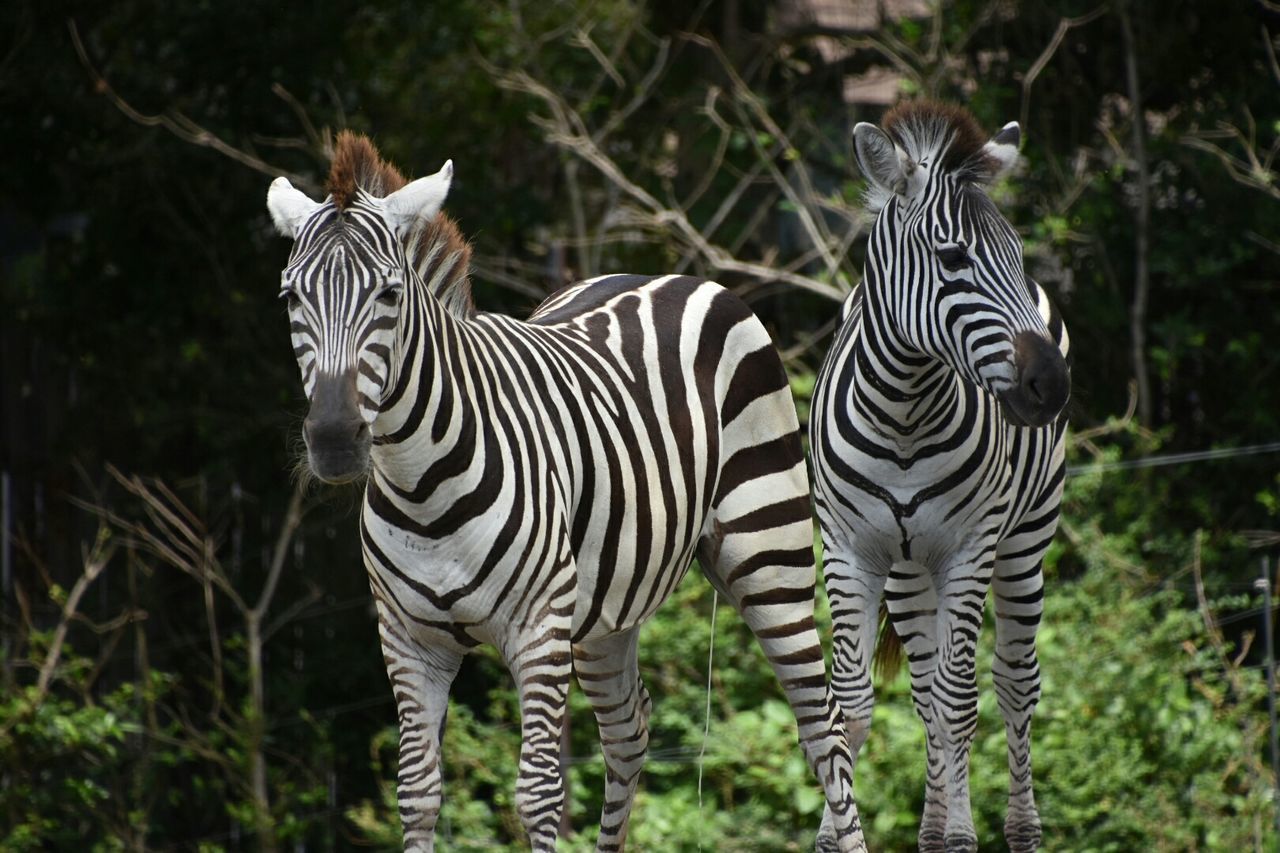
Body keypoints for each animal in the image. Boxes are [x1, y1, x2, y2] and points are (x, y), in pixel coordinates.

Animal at [267, 129, 870, 845]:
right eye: (291, 299)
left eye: (388, 295)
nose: (335, 441)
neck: (423, 489)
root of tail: (671, 276)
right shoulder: (409, 639)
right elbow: (417, 793)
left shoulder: (537, 629)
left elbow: (538, 795)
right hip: (609, 609)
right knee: (630, 732)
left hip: (769, 556)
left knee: (824, 727)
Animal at [808, 101, 1070, 850]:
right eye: (953, 258)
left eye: (1016, 254)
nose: (1052, 385)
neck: (903, 411)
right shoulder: (849, 550)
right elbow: (851, 705)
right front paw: (835, 836)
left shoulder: (968, 549)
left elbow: (960, 701)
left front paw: (960, 836)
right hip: (907, 568)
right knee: (924, 688)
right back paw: (929, 828)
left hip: (1024, 542)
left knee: (1011, 683)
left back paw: (1014, 828)